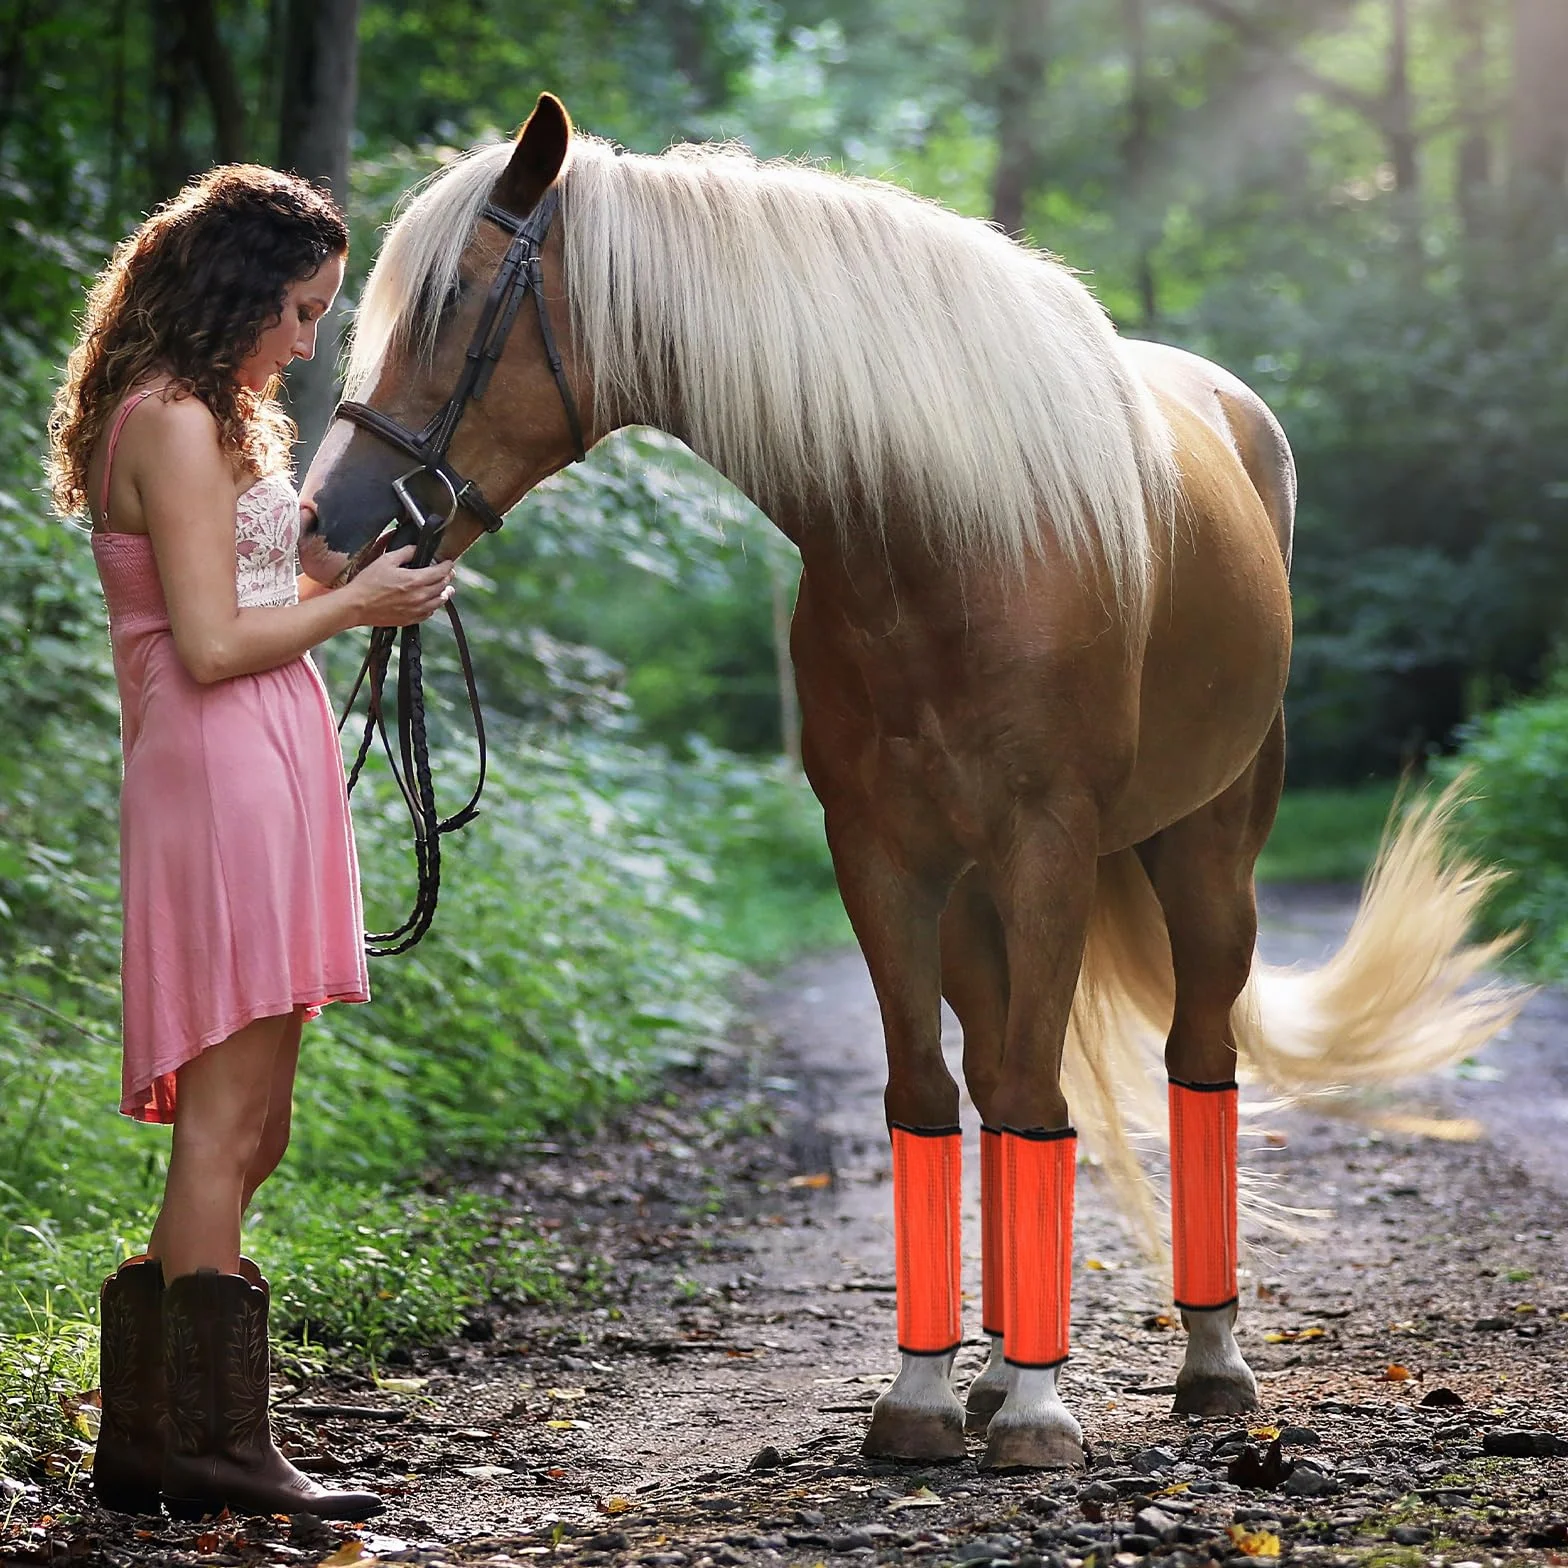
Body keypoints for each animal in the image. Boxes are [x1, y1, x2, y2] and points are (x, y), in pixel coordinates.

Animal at [299, 93, 1520, 1471]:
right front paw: (929, 1393)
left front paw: (1040, 1410)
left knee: (1196, 1055)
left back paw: (1208, 1360)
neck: (940, 536)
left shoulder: (1046, 846)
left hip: (1205, 856)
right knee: (992, 1076)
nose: (326, 524)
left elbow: (1043, 1096)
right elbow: (931, 1095)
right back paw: (995, 1366)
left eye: (455, 300)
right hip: (980, 896)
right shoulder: (881, 858)